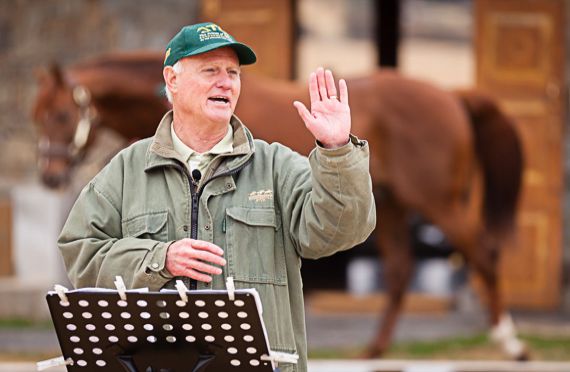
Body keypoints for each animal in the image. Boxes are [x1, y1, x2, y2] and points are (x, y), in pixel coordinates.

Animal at [32, 51, 524, 358]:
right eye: (36, 116)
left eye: (62, 115)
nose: (49, 177)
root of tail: (452, 95)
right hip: (392, 206)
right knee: (402, 270)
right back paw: (374, 349)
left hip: (434, 200)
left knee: (482, 252)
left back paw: (511, 344)